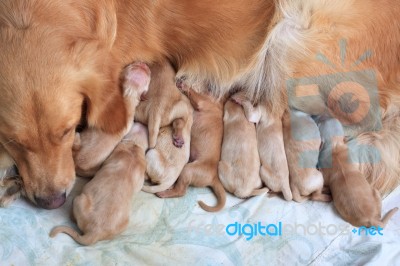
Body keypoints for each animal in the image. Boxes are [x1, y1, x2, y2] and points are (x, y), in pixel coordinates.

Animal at [155, 81, 225, 212]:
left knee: (181, 191)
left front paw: (183, 85)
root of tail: (214, 178)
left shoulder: (202, 102)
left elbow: (193, 93)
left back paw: (164, 193)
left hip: (187, 171)